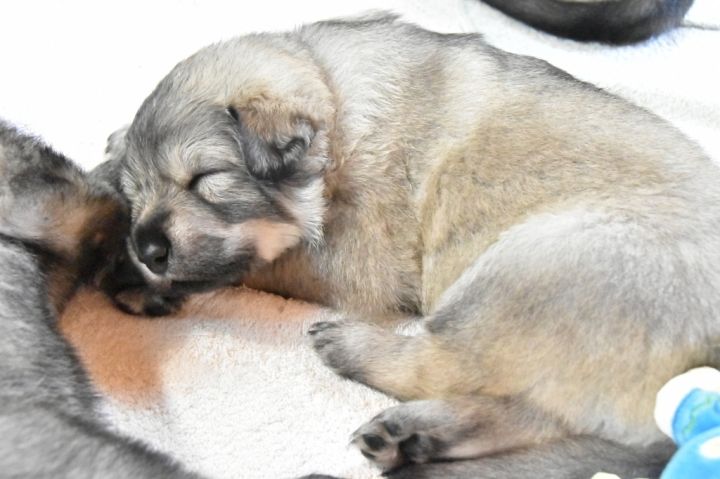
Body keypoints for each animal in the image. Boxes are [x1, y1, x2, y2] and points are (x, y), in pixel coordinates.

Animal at [100, 14, 720, 478]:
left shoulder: (350, 262)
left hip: (532, 263)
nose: (148, 247)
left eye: (206, 178)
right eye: (136, 192)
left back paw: (355, 350)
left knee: (442, 364)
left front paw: (136, 275)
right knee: (527, 409)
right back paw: (415, 435)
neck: (338, 118)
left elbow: (257, 264)